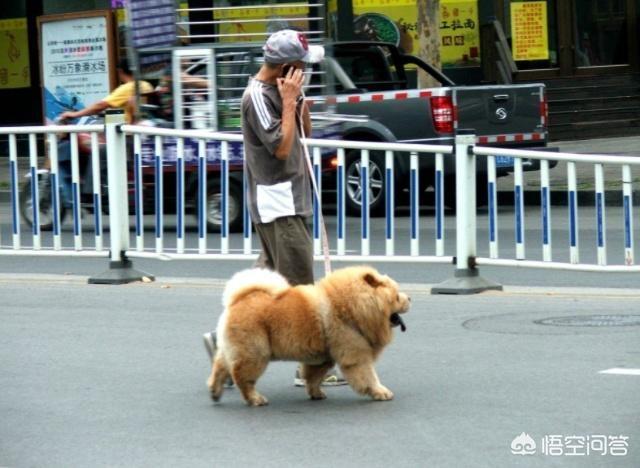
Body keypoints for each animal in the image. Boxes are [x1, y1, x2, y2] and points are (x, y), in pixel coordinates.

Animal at [208, 266, 412, 406]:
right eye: (397, 296)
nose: (409, 298)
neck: (351, 307)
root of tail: (238, 300)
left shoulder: (323, 358)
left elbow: (313, 377)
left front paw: (316, 393)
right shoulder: (356, 355)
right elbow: (369, 376)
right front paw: (381, 392)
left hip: (239, 350)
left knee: (220, 366)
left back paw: (215, 391)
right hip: (256, 353)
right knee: (242, 378)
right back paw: (255, 399)